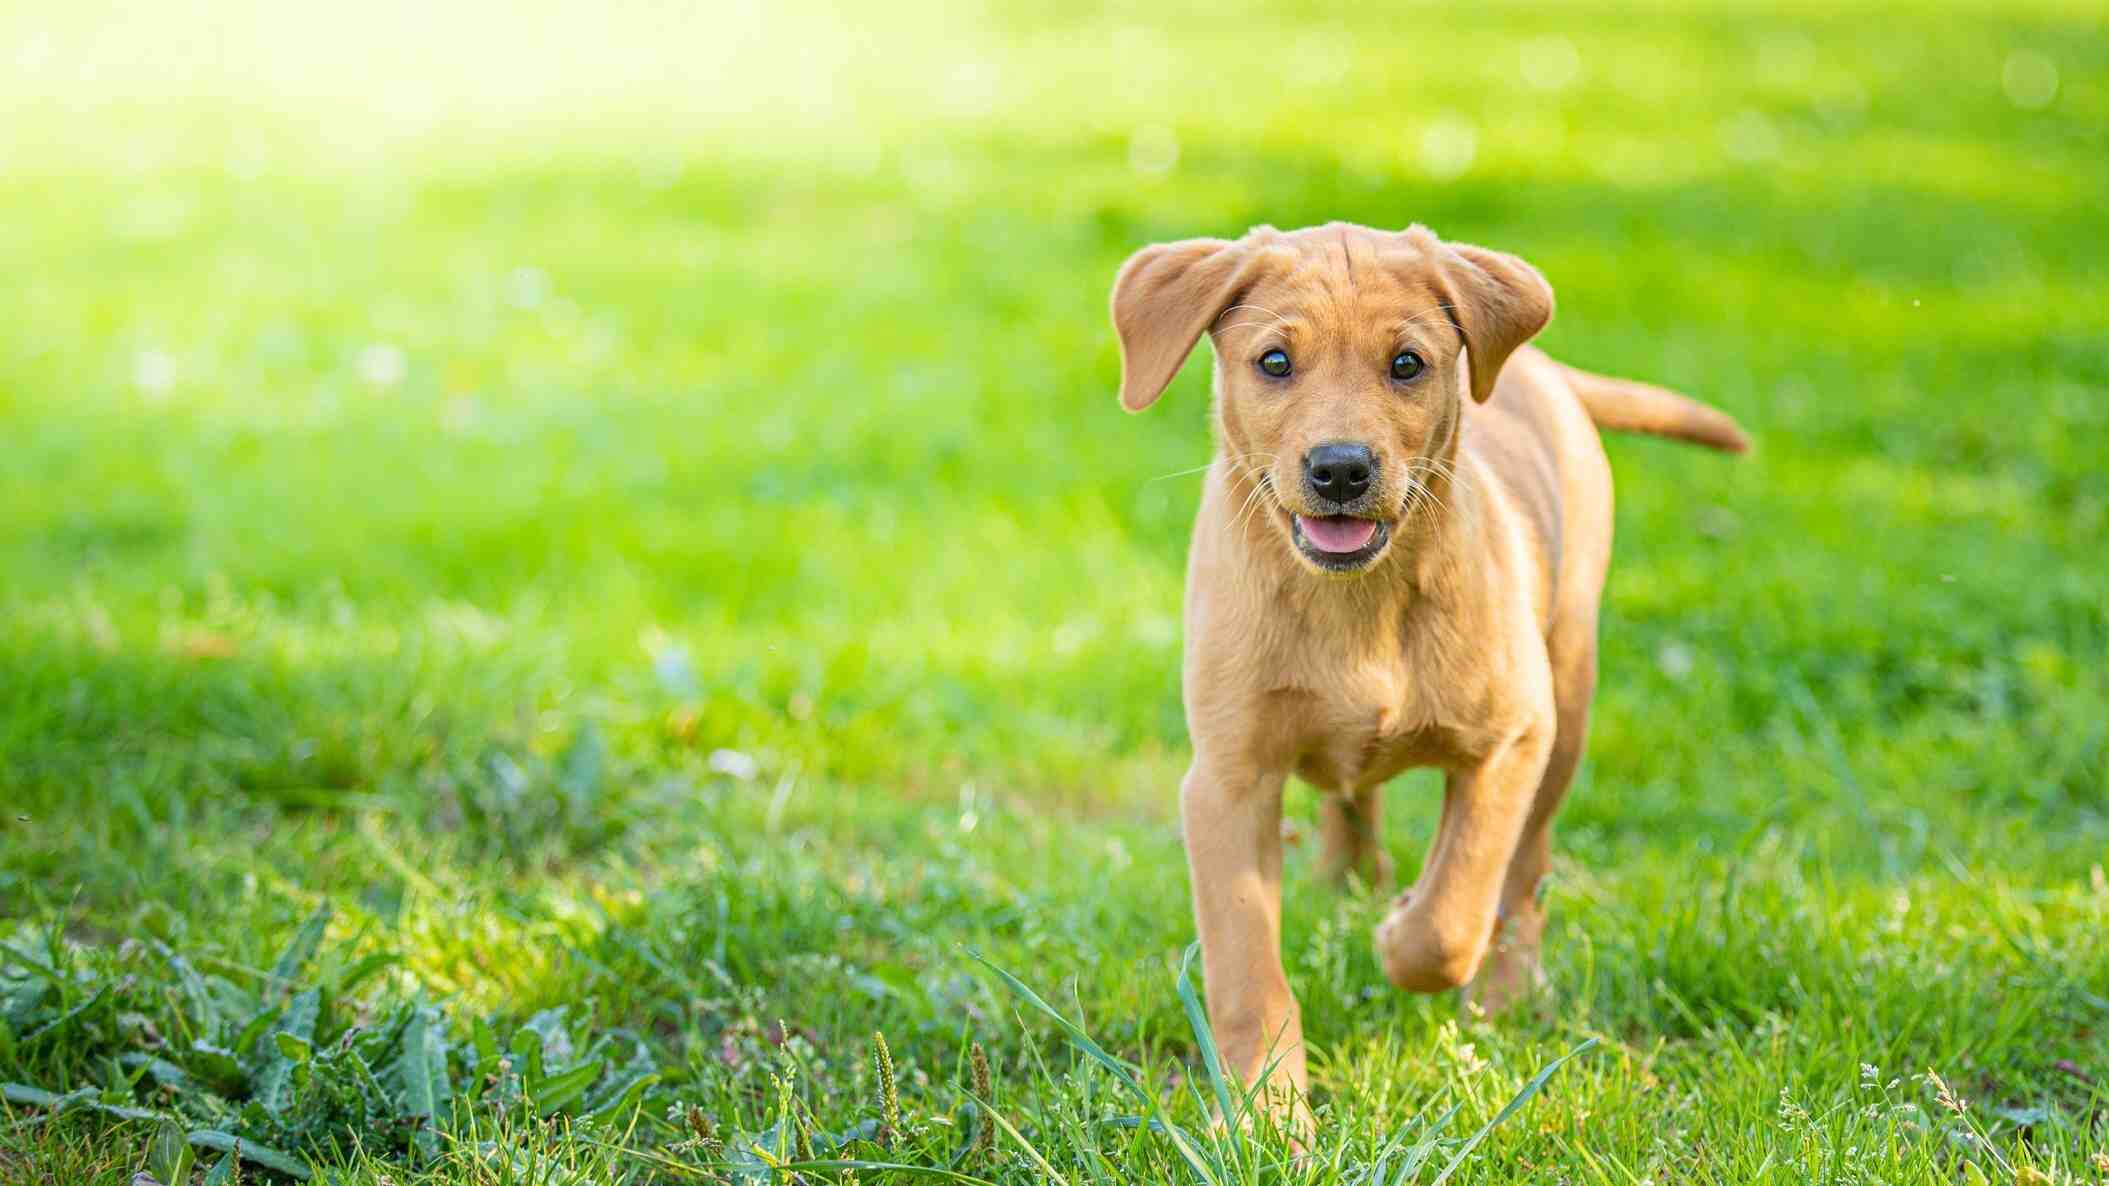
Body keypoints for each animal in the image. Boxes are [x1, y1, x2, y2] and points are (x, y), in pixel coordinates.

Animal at [1113, 219, 1754, 1114]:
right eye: (1273, 361)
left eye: (1407, 364)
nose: (1340, 469)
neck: (1357, 603)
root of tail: (1546, 371)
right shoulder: (1226, 780)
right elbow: (1247, 973)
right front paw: (1266, 1115)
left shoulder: (1511, 740)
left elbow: (1455, 909)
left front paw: (1402, 935)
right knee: (1352, 801)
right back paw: (1345, 883)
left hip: (1566, 705)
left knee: (1524, 876)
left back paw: (1501, 995)